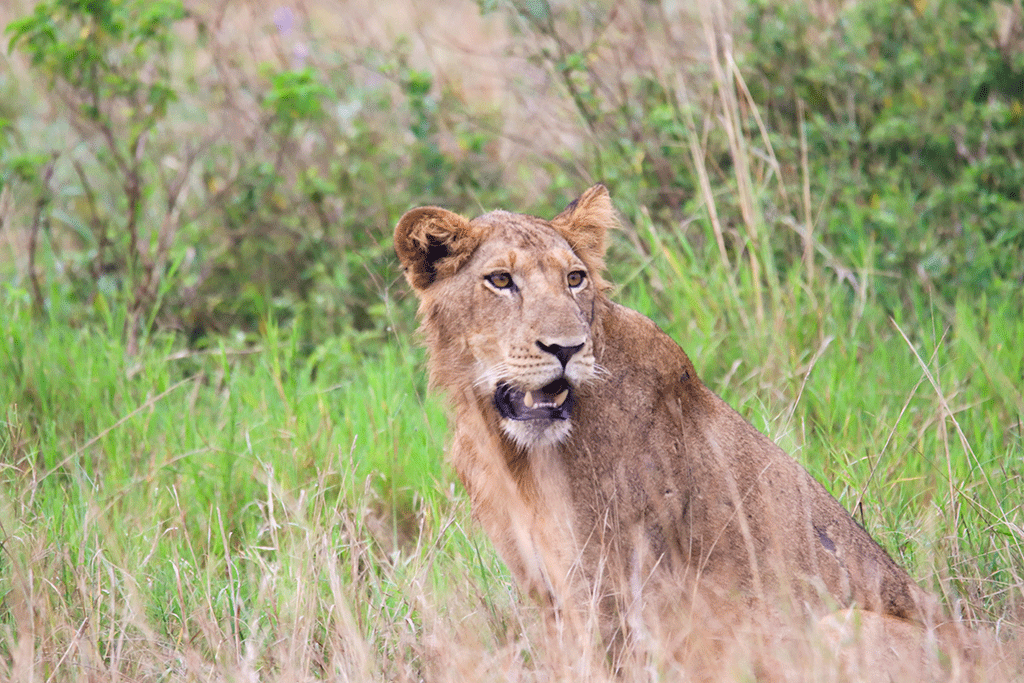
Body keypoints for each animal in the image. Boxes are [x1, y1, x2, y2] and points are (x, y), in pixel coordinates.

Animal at [395, 184, 970, 675]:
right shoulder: (546, 590)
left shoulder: (608, 585)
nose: (567, 349)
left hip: (839, 623)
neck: (506, 448)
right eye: (500, 281)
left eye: (574, 279)